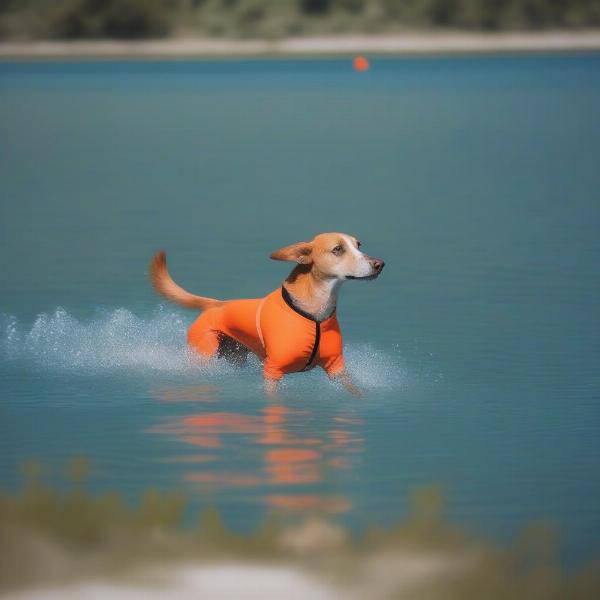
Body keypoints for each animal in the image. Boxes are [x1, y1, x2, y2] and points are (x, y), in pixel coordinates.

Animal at [150, 234, 384, 398]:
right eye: (338, 249)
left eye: (359, 245)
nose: (379, 264)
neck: (314, 315)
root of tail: (215, 304)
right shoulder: (273, 372)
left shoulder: (337, 368)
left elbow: (355, 391)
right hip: (203, 354)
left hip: (235, 357)